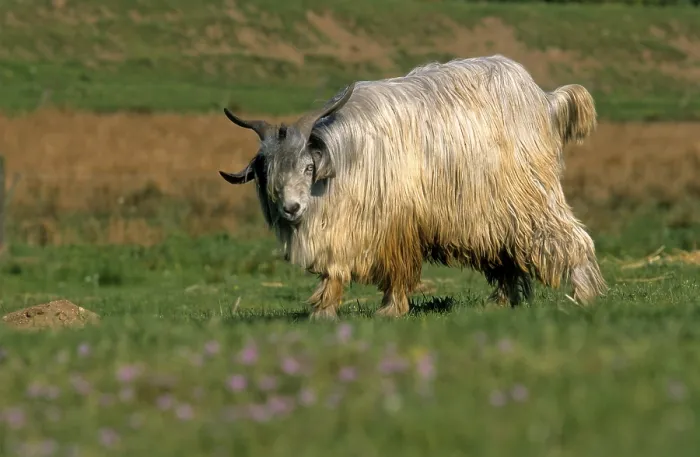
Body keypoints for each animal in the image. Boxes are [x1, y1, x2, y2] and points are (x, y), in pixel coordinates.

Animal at [219, 54, 608, 319]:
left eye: (308, 166)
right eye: (268, 172)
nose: (291, 208)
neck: (341, 158)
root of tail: (544, 99)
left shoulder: (395, 223)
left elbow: (397, 268)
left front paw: (390, 310)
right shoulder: (344, 230)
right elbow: (335, 269)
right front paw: (323, 310)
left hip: (529, 197)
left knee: (569, 237)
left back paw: (585, 296)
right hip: (492, 216)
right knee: (507, 257)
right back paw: (503, 302)